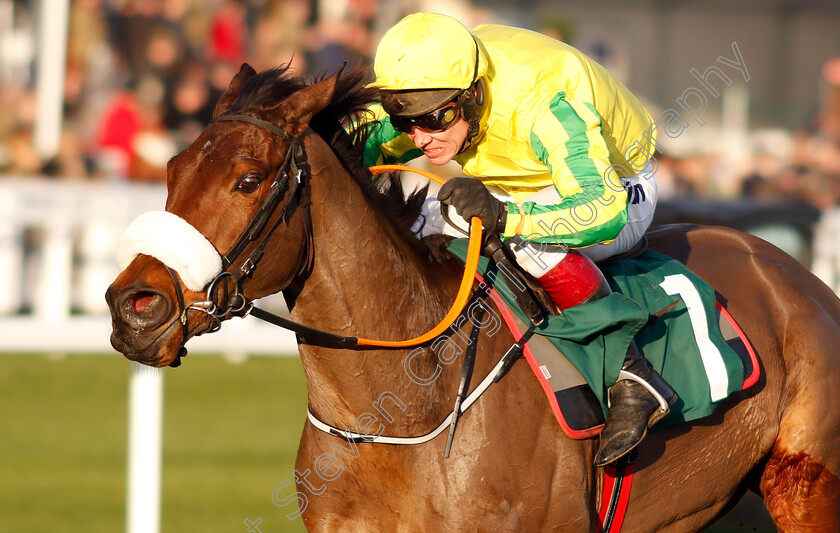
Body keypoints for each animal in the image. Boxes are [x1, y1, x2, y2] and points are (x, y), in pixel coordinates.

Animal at [108, 64, 840, 528]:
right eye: (171, 169)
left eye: (248, 179)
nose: (135, 307)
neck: (398, 411)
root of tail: (797, 274)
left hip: (807, 488)